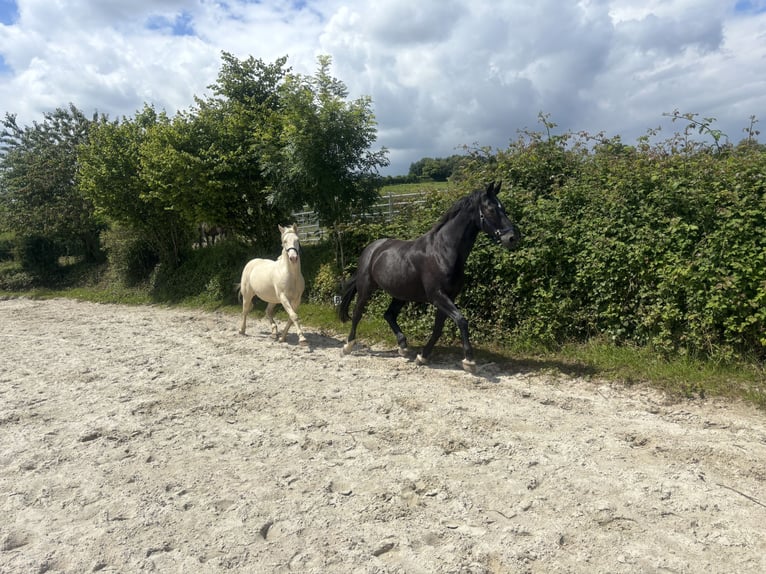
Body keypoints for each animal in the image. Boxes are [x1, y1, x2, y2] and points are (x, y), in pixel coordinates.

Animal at [338, 181, 520, 372]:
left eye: (503, 208)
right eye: (491, 209)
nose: (512, 238)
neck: (442, 251)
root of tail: (372, 248)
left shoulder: (448, 297)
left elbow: (438, 329)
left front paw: (423, 356)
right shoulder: (437, 296)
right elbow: (462, 321)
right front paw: (469, 361)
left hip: (401, 294)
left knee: (388, 315)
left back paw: (403, 347)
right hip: (366, 288)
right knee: (357, 313)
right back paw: (348, 346)